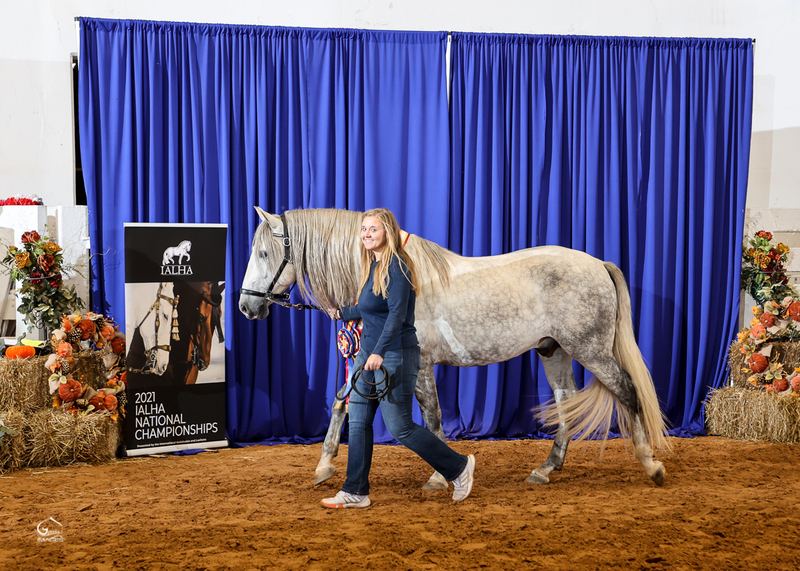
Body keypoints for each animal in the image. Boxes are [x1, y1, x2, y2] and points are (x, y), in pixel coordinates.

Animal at [238, 208, 668, 490]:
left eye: (263, 253)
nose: (245, 306)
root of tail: (598, 264)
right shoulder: (368, 360)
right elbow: (342, 403)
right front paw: (324, 466)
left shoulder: (419, 366)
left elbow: (432, 419)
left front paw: (439, 476)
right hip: (554, 350)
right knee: (566, 401)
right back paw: (546, 469)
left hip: (591, 349)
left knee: (628, 392)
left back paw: (651, 465)